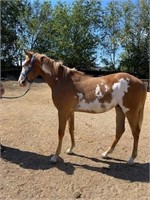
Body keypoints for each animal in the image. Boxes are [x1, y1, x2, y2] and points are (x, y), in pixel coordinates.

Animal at [17, 50, 146, 165]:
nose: (21, 82)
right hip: (119, 110)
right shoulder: (70, 111)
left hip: (130, 112)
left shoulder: (62, 112)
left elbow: (61, 132)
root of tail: (141, 82)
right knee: (120, 131)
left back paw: (131, 159)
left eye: (25, 64)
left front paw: (55, 156)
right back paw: (106, 153)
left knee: (136, 132)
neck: (63, 81)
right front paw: (71, 149)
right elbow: (71, 129)